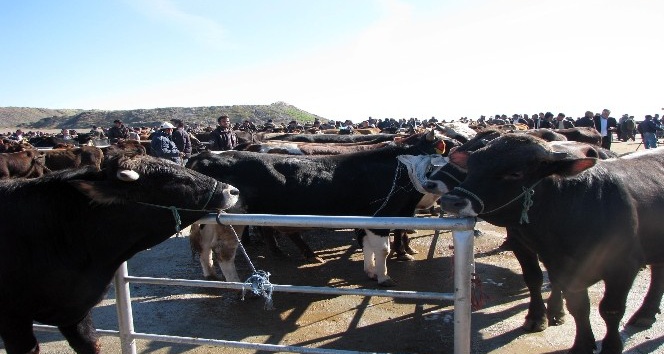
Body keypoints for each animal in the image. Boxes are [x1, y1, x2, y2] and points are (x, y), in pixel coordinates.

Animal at [189, 130, 454, 288]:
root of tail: (205, 155)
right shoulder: (384, 216)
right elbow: (383, 249)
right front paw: (383, 277)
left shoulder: (368, 219)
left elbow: (367, 246)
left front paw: (370, 271)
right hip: (234, 220)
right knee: (223, 252)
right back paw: (236, 285)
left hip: (211, 219)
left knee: (205, 245)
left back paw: (210, 274)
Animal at [438, 134, 660, 352]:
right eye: (472, 166)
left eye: (515, 173)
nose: (451, 201)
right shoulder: (531, 249)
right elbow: (562, 296)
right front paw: (547, 323)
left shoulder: (623, 266)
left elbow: (610, 309)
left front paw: (611, 347)